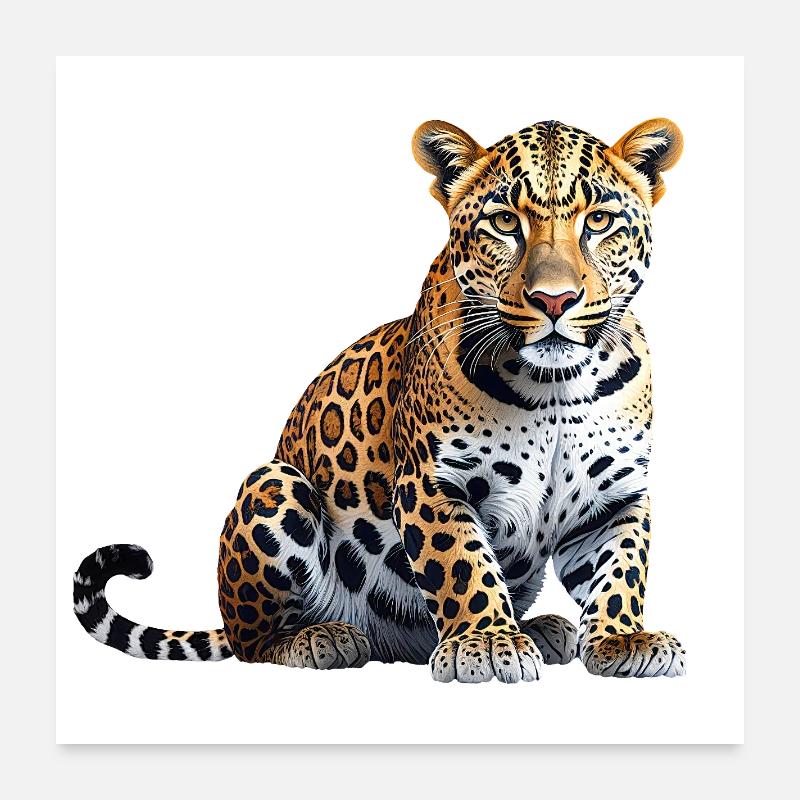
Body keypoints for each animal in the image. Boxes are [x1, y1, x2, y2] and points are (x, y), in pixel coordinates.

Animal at [74, 116, 686, 682]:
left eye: (599, 221)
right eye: (505, 222)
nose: (554, 300)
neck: (557, 384)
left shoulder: (617, 496)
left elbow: (621, 569)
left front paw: (622, 640)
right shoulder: (433, 483)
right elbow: (462, 564)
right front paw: (487, 642)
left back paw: (541, 628)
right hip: (275, 486)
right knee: (253, 642)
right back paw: (321, 638)